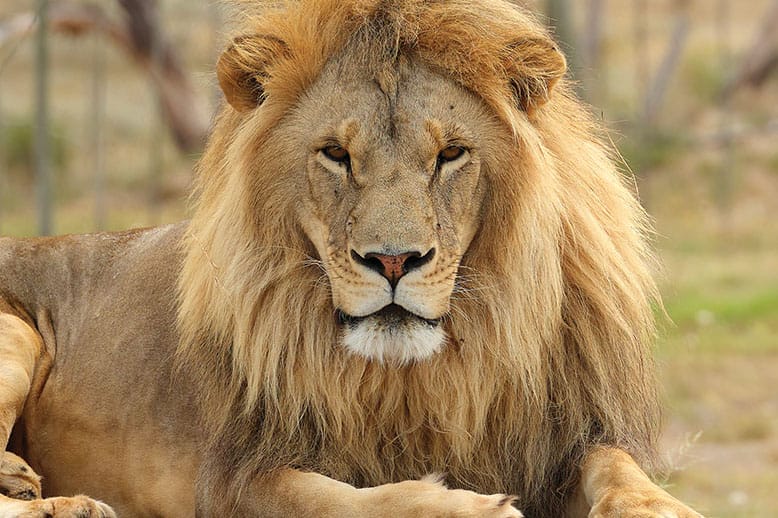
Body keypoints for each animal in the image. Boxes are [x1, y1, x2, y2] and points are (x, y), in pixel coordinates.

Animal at [0, 0, 703, 516]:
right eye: (336, 154)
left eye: (450, 154)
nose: (393, 262)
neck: (419, 380)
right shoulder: (234, 479)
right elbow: (349, 501)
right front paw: (472, 507)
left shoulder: (567, 435)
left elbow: (616, 466)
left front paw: (658, 507)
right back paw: (60, 501)